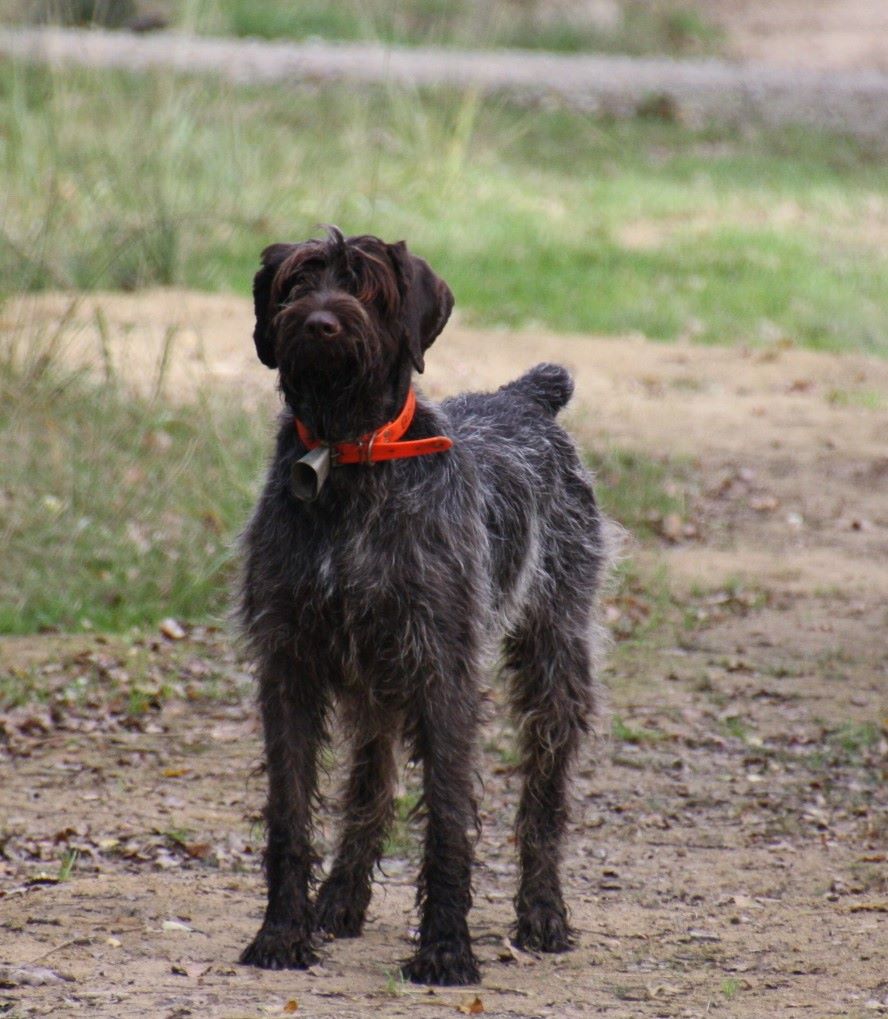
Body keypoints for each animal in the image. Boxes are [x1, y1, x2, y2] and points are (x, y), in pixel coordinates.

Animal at [238, 227, 607, 986]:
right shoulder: (289, 664)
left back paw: (542, 912)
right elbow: (290, 813)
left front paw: (444, 946)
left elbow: (446, 819)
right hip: (375, 681)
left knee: (544, 801)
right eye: (297, 283)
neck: (349, 459)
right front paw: (282, 932)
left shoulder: (443, 669)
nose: (320, 322)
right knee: (371, 787)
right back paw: (339, 900)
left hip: (554, 659)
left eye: (368, 286)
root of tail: (526, 397)